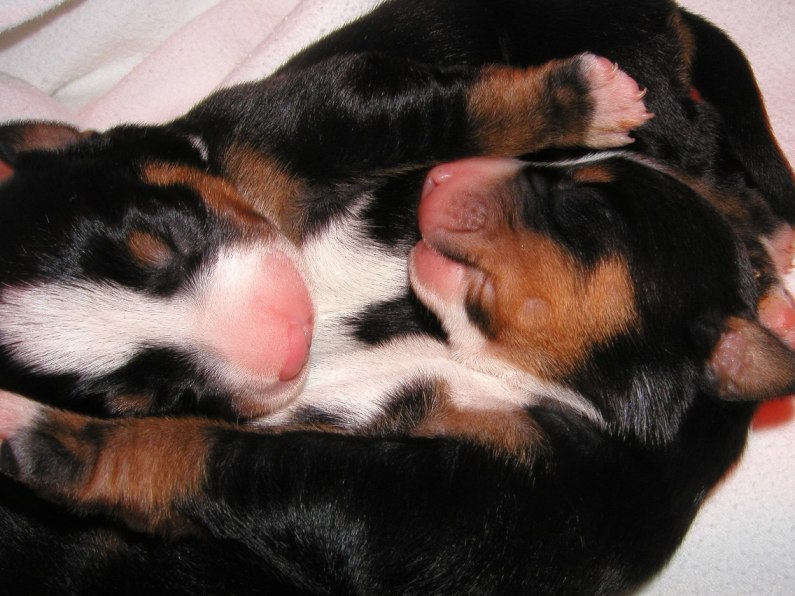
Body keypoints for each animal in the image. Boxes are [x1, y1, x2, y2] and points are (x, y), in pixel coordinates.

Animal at [0, 0, 794, 593]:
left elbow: (424, 113)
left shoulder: (290, 131)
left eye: (165, 240)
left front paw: (577, 98)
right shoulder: (414, 508)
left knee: (709, 151)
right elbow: (226, 457)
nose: (290, 333)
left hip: (640, 74)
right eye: (152, 390)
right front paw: (59, 437)